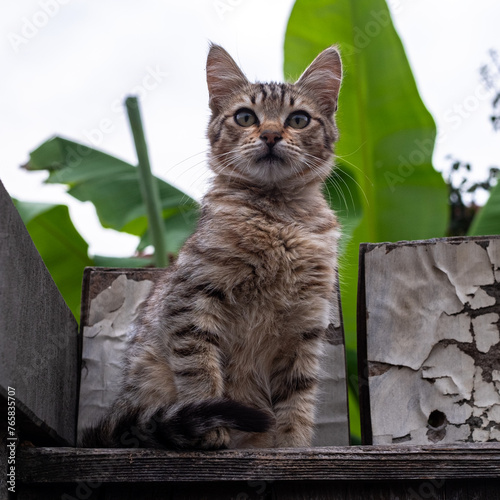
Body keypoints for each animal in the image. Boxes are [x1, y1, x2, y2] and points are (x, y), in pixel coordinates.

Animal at [80, 43, 342, 450]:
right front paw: (212, 429)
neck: (277, 218)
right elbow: (201, 374)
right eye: (245, 117)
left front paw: (292, 445)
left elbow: (298, 395)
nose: (270, 135)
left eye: (298, 120)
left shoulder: (306, 321)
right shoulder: (192, 300)